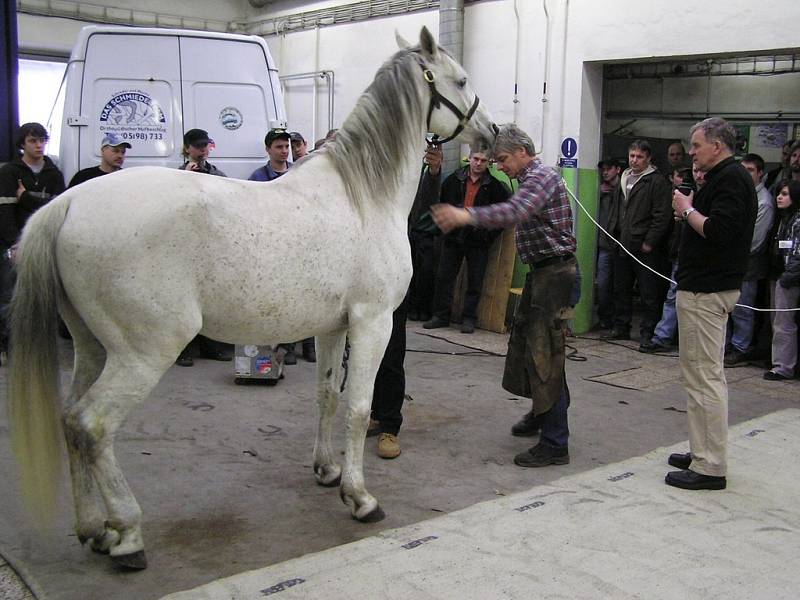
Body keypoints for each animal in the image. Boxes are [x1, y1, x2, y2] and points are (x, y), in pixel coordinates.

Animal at [4, 27, 494, 572]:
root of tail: (67, 203)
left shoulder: (332, 326)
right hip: (143, 353)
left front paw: (327, 471)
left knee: (70, 420)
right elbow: (359, 406)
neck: (364, 196)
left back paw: (93, 528)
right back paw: (128, 536)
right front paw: (360, 498)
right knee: (93, 425)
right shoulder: (373, 322)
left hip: (92, 347)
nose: (492, 133)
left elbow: (327, 394)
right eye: (461, 79)